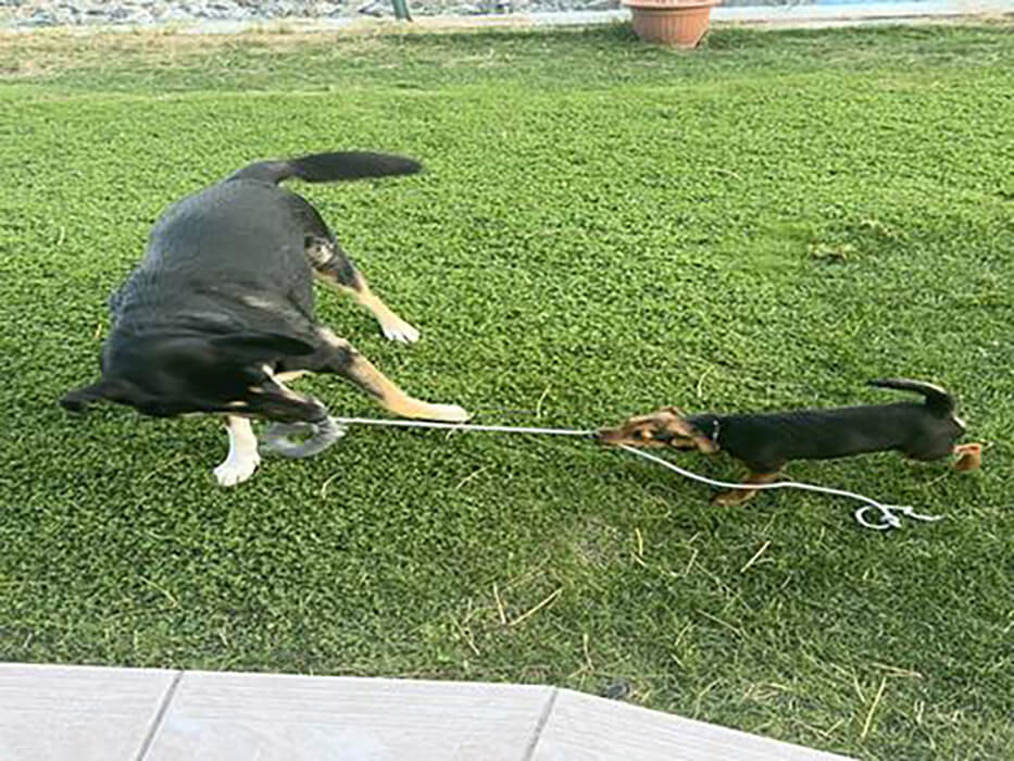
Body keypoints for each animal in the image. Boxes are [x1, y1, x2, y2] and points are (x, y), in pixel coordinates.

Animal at [61, 151, 469, 486]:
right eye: (231, 404)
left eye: (258, 381)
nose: (316, 412)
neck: (184, 316)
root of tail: (243, 178)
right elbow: (236, 426)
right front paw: (240, 458)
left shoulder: (333, 350)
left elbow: (390, 397)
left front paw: (439, 413)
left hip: (323, 254)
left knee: (365, 292)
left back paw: (396, 326)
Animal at [597, 379, 982, 505]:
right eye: (629, 422)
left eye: (640, 436)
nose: (599, 435)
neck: (723, 428)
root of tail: (938, 407)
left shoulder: (769, 468)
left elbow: (747, 486)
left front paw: (728, 500)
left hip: (926, 451)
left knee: (970, 445)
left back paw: (967, 463)